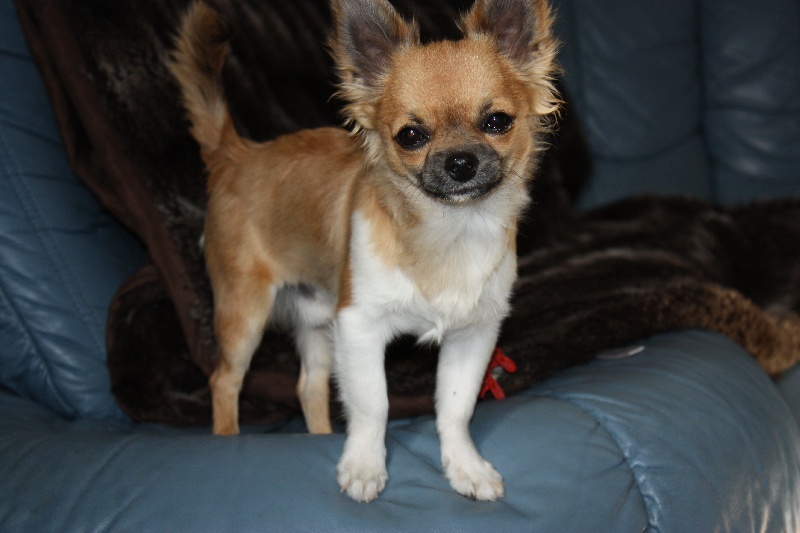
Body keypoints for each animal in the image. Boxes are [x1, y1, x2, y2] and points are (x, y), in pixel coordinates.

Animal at [170, 0, 559, 502]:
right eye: (410, 135)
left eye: (497, 122)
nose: (460, 163)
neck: (450, 232)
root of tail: (236, 154)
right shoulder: (359, 326)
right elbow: (374, 404)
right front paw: (363, 466)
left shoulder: (473, 334)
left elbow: (454, 408)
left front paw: (465, 467)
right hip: (244, 314)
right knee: (225, 380)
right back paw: (227, 441)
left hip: (317, 320)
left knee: (309, 386)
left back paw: (319, 437)